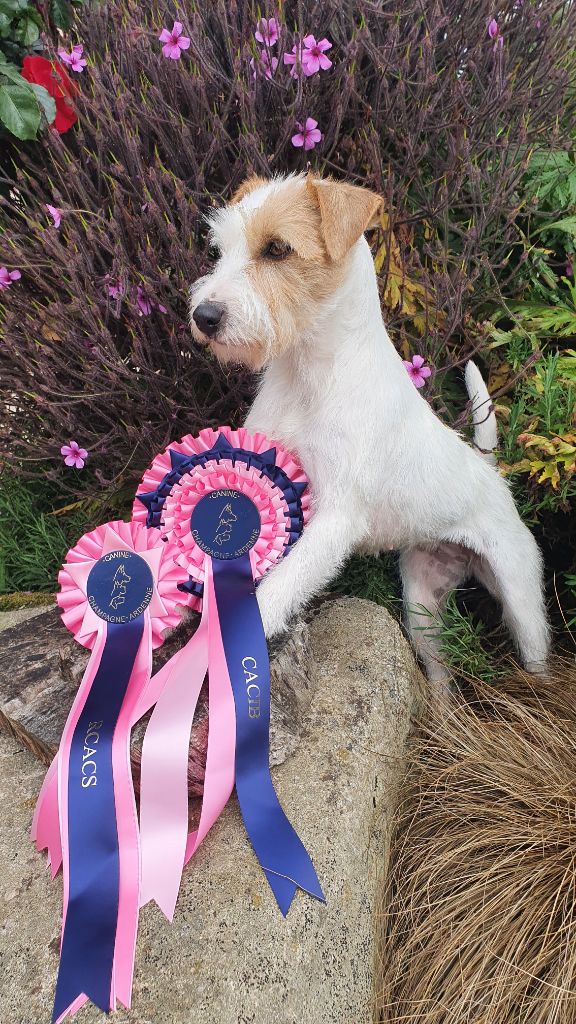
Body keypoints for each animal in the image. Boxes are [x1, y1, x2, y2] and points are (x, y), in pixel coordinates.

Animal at [188, 174, 545, 688]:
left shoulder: (337, 517)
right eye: (220, 249)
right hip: (421, 604)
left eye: (277, 249)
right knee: (441, 681)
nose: (204, 317)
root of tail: (490, 472)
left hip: (522, 602)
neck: (309, 374)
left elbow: (280, 586)